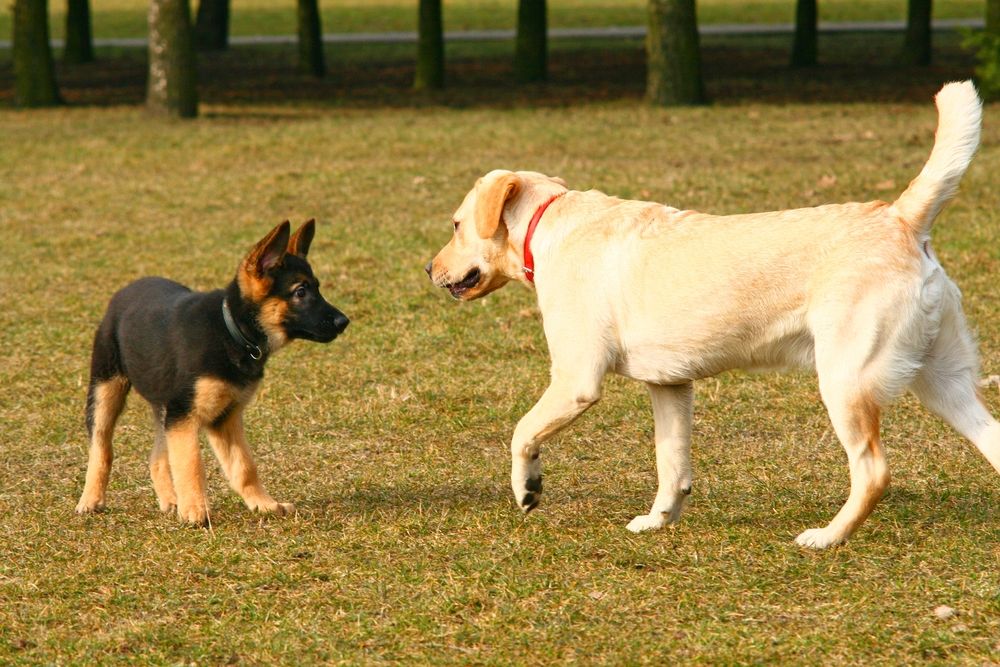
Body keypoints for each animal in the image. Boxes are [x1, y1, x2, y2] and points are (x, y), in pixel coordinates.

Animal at [75, 222, 348, 524]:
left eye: (318, 288)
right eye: (300, 292)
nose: (344, 321)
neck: (232, 330)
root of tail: (127, 288)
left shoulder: (223, 417)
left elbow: (244, 466)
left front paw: (263, 504)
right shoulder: (185, 415)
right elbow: (191, 463)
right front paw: (195, 512)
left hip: (164, 406)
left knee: (157, 456)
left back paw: (170, 500)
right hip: (106, 388)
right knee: (102, 447)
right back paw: (91, 500)